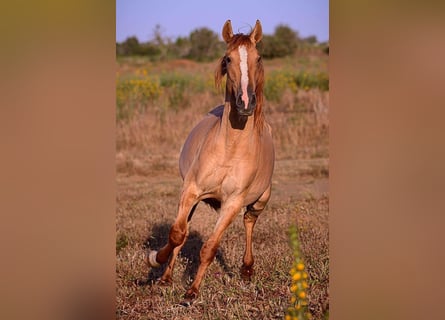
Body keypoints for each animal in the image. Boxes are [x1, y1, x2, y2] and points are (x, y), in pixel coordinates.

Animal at [147, 19, 274, 304]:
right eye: (228, 59)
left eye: (259, 58)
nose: (246, 103)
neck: (230, 149)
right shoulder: (191, 191)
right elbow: (177, 234)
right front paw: (155, 260)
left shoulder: (232, 203)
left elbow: (210, 248)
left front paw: (191, 292)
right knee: (183, 234)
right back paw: (165, 277)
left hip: (260, 201)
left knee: (249, 222)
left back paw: (247, 269)